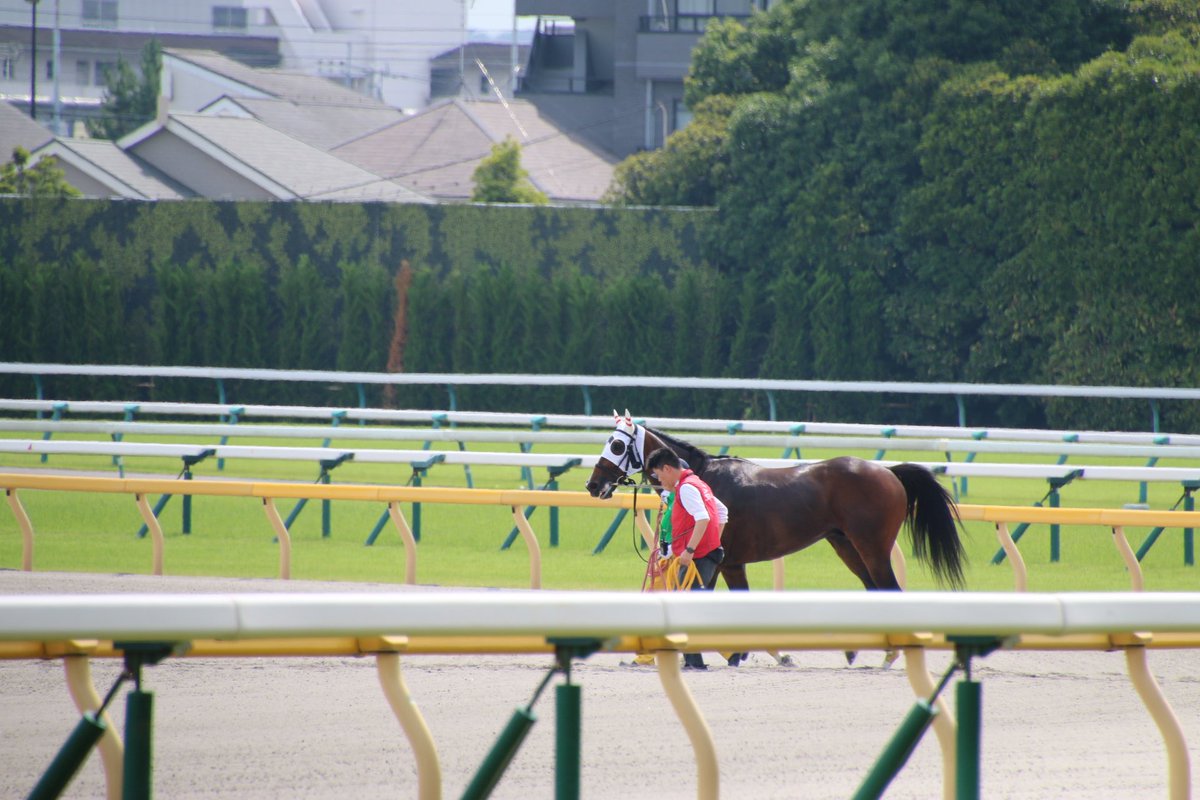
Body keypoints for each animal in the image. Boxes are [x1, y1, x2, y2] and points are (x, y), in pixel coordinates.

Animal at [585, 412, 967, 598]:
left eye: (616, 445)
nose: (593, 484)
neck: (703, 475)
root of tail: (888, 473)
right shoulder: (729, 563)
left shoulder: (723, 561)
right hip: (846, 545)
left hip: (871, 547)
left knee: (888, 588)